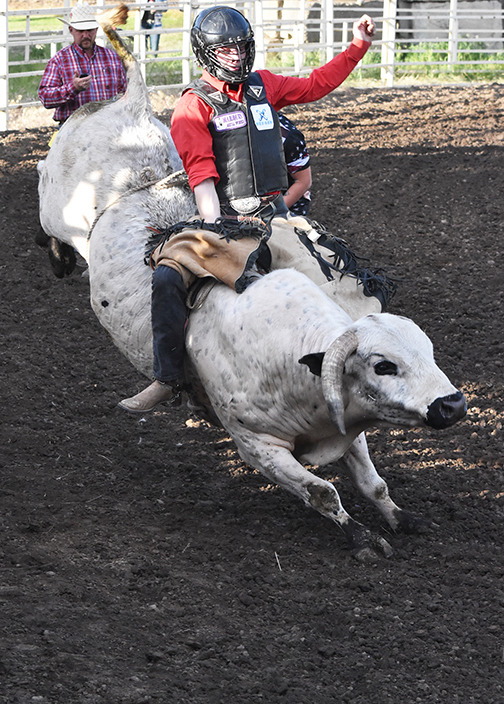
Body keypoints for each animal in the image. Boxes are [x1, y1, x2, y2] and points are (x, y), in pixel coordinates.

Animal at [37, 4, 466, 556]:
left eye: (427, 352)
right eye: (384, 365)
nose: (452, 403)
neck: (292, 356)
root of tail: (129, 106)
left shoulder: (346, 423)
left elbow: (372, 482)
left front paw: (401, 517)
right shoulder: (258, 447)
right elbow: (322, 492)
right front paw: (361, 537)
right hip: (58, 208)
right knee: (47, 208)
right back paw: (58, 260)